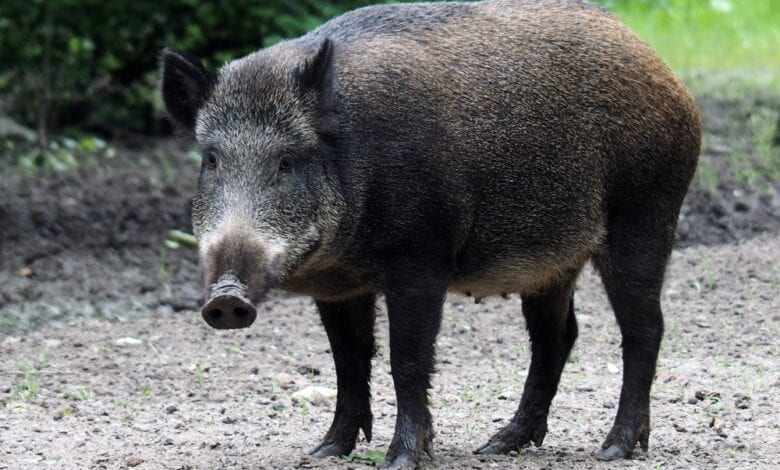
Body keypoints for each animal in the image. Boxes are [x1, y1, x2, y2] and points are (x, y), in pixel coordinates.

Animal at [160, 0, 700, 467]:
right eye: (212, 159)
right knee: (557, 336)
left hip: (646, 215)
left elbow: (408, 359)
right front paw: (325, 451)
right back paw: (498, 444)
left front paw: (401, 460)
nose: (226, 298)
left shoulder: (422, 260)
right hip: (553, 263)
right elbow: (348, 360)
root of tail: (669, 78)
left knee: (644, 329)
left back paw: (614, 449)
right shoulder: (338, 287)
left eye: (287, 161)